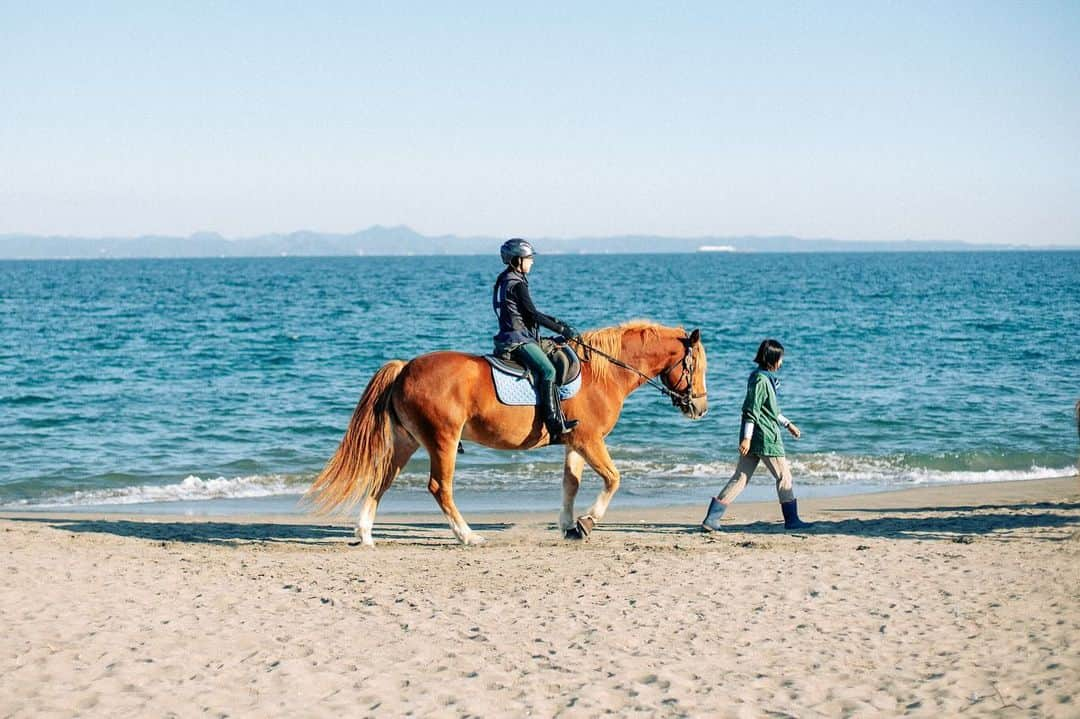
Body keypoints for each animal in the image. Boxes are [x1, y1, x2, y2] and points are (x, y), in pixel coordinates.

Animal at [306, 319, 708, 544]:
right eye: (696, 367)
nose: (700, 408)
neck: (603, 373)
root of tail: (405, 369)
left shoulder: (575, 442)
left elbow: (570, 484)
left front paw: (568, 526)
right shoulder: (590, 440)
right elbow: (612, 479)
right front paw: (587, 522)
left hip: (407, 441)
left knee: (381, 480)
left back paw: (365, 534)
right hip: (442, 440)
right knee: (440, 488)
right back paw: (467, 536)